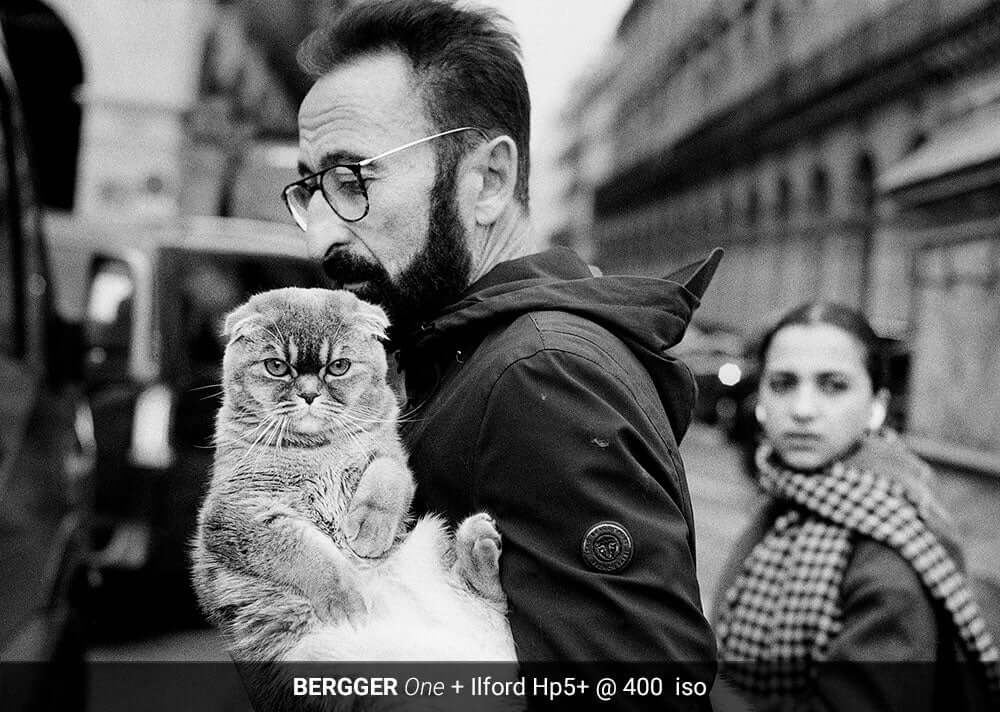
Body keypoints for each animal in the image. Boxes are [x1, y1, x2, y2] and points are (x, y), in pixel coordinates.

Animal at [189, 286, 516, 664]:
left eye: (338, 366)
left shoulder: (391, 455)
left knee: (492, 602)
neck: (319, 449)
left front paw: (368, 531)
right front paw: (345, 597)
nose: (309, 394)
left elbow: (386, 478)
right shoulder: (235, 511)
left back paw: (479, 543)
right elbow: (307, 552)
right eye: (277, 367)